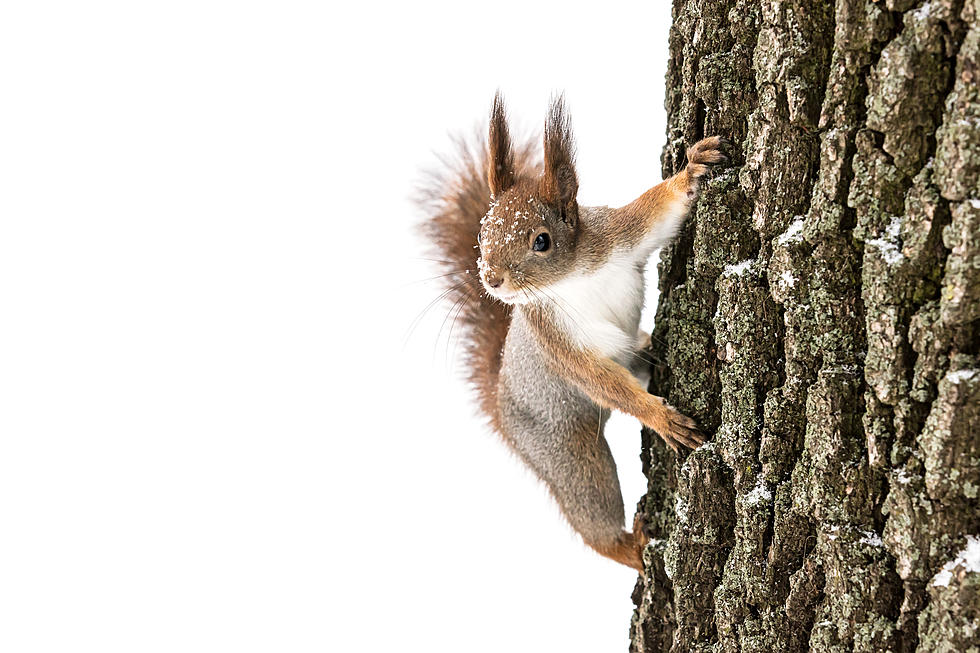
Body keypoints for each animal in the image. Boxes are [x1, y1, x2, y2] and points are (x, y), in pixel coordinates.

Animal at [418, 93, 732, 572]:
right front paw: (660, 417)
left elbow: (657, 211)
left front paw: (693, 168)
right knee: (592, 509)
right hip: (566, 453)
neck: (570, 279)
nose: (491, 279)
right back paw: (629, 547)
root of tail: (502, 410)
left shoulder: (618, 236)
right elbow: (598, 379)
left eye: (541, 240)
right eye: (483, 232)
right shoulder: (556, 340)